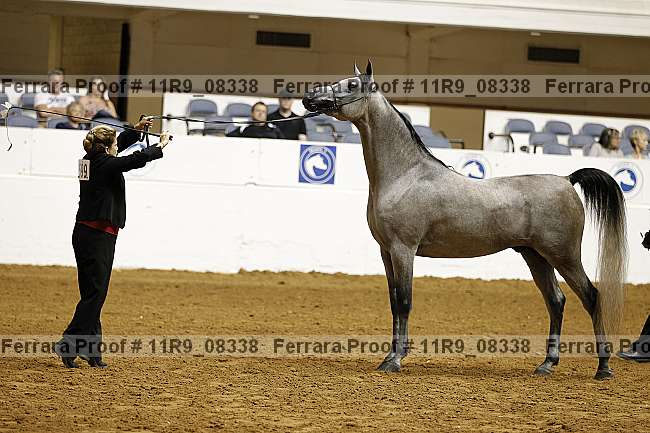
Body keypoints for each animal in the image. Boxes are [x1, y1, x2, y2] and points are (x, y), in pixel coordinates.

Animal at [302, 61, 628, 380]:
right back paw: (547, 364)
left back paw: (603, 367)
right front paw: (389, 356)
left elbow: (405, 302)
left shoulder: (403, 249)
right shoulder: (387, 252)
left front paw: (395, 360)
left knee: (591, 297)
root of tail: (567, 179)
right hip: (536, 256)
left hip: (564, 256)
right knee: (556, 301)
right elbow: (394, 303)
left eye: (351, 85)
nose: (308, 98)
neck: (406, 175)